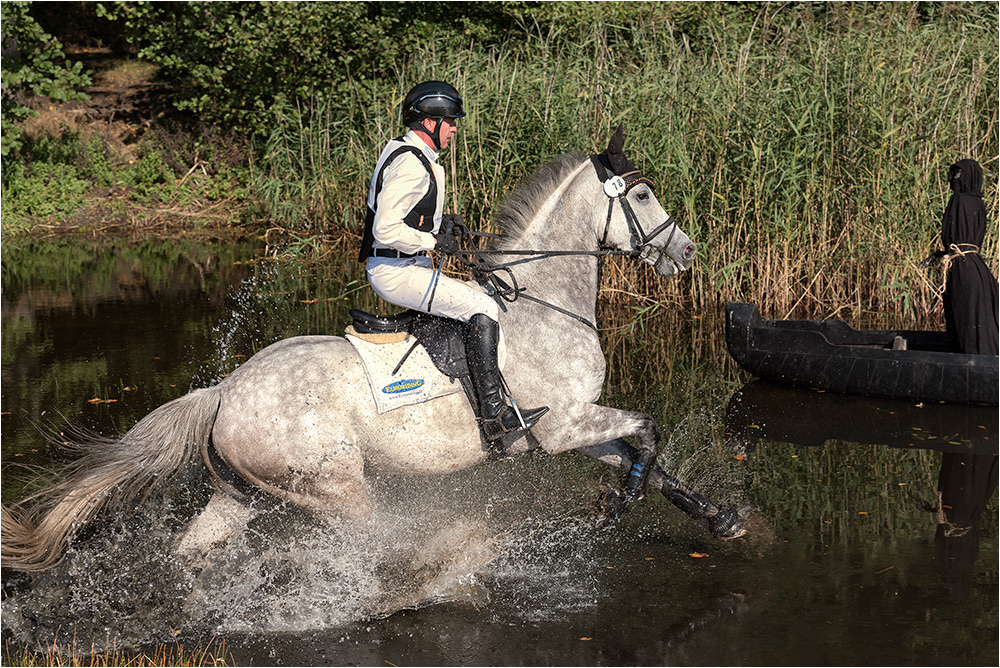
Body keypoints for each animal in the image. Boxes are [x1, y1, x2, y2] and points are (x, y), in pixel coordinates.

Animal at [1, 128, 744, 572]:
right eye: (642, 193)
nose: (686, 252)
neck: (540, 302)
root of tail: (224, 391)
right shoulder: (562, 423)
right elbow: (649, 431)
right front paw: (615, 506)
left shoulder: (570, 426)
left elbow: (651, 455)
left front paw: (719, 518)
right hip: (335, 487)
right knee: (363, 542)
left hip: (239, 495)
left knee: (195, 552)